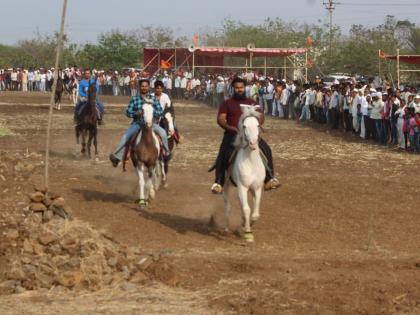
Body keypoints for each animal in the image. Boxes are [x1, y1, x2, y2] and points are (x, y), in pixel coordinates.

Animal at [223, 105, 266, 243]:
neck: (251, 162)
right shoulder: (242, 187)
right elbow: (247, 209)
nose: (252, 144)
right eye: (245, 126)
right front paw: (247, 232)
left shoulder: (256, 188)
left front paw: (245, 226)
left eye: (257, 125)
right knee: (228, 206)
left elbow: (255, 213)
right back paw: (226, 229)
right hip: (227, 186)